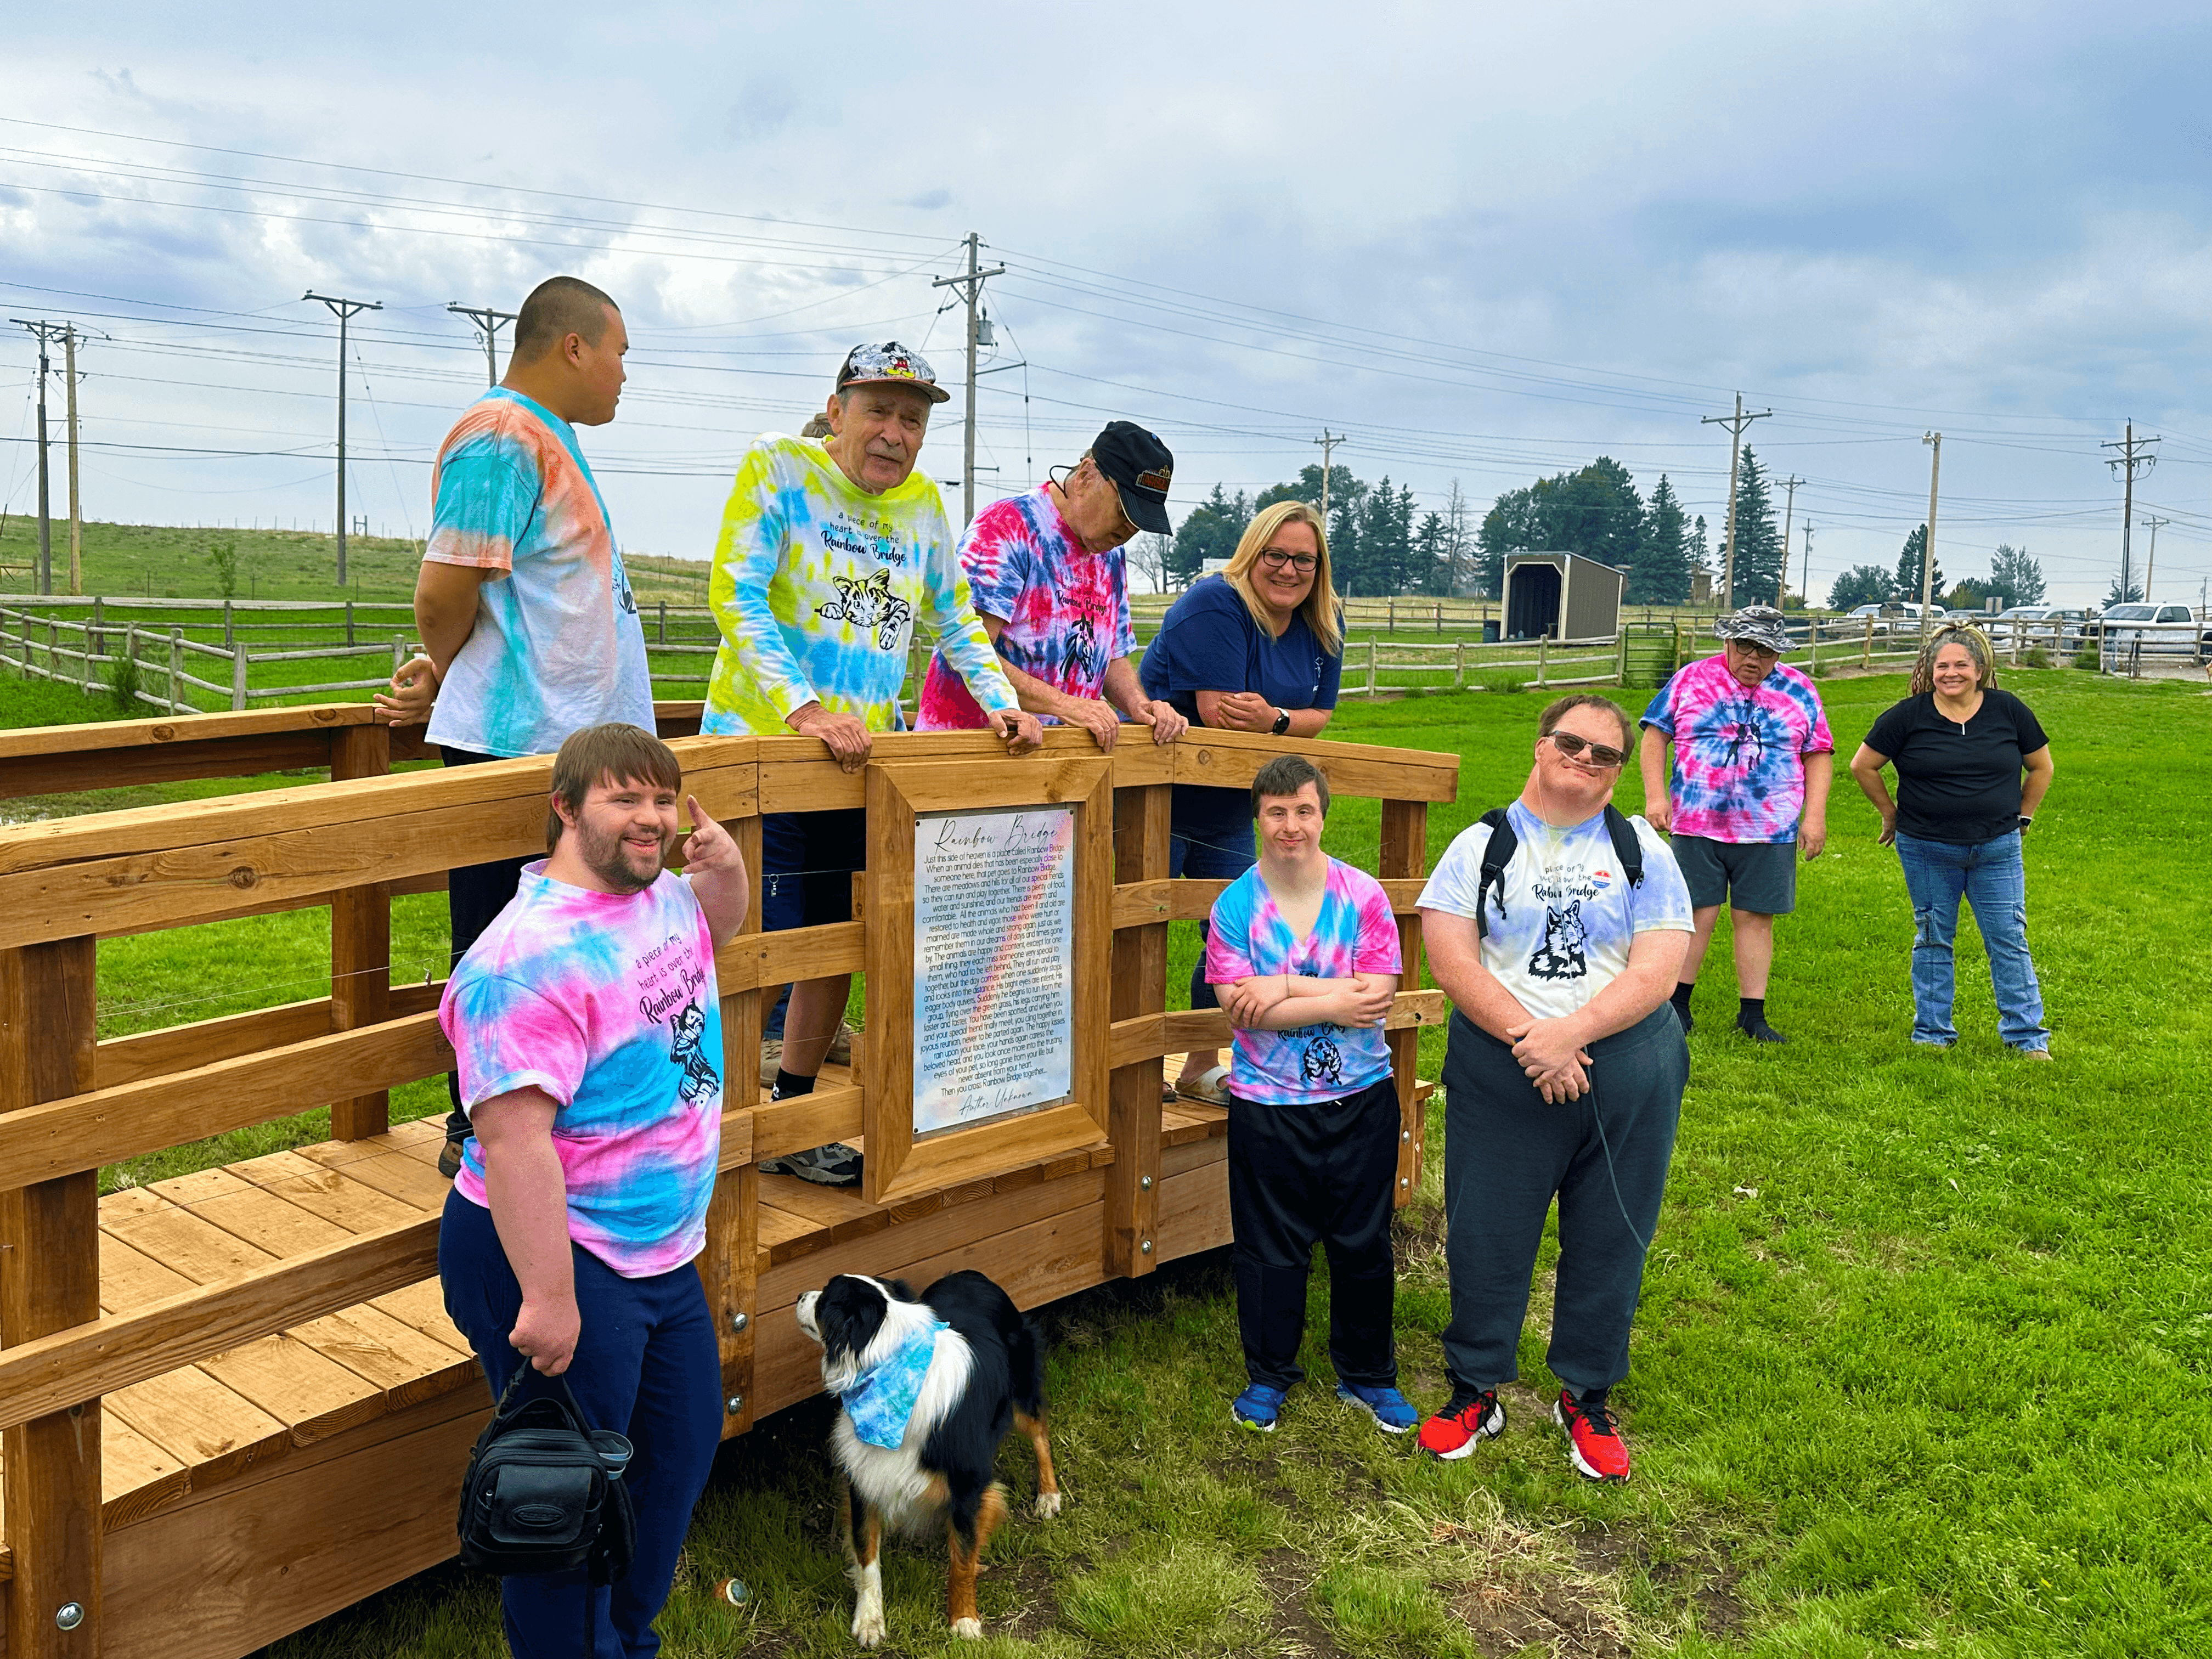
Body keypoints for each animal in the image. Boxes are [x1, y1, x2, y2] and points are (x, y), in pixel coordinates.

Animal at [796, 1274, 1062, 1654]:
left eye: (825, 1300)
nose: (800, 1295)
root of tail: (974, 1274)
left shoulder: (968, 1487)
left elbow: (962, 1561)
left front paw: (964, 1620)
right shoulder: (865, 1479)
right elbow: (867, 1559)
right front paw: (870, 1621)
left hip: (1021, 1391)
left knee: (1040, 1434)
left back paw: (1049, 1495)